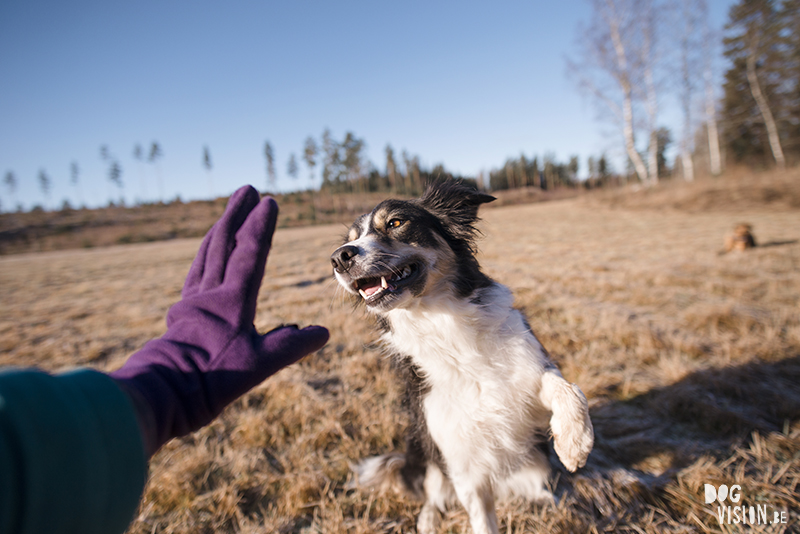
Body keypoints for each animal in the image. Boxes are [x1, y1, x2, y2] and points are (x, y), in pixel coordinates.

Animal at [332, 181, 592, 534]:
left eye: (396, 222)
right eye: (351, 238)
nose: (339, 257)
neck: (447, 325)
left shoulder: (527, 383)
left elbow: (567, 389)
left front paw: (574, 443)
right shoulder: (460, 459)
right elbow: (480, 519)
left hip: (535, 458)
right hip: (425, 456)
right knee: (432, 495)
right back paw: (428, 520)